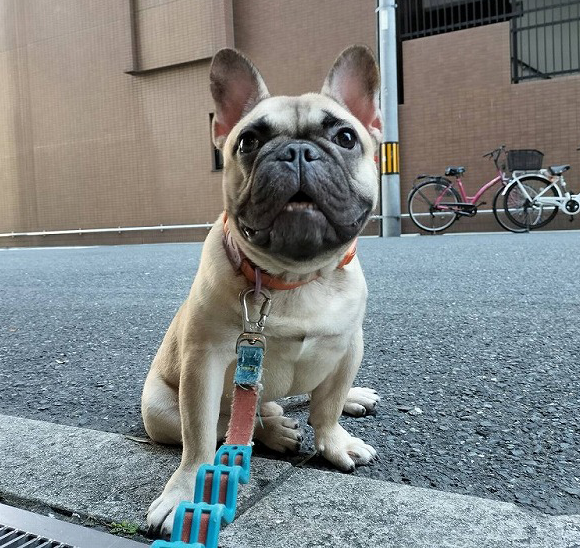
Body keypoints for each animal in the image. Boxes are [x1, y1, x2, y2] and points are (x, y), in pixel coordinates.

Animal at [142, 45, 382, 537]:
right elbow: (198, 442)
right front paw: (184, 495)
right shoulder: (204, 363)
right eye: (248, 141)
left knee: (301, 399)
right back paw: (273, 428)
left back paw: (349, 398)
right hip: (160, 409)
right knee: (233, 425)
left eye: (346, 137)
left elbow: (327, 407)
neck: (293, 276)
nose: (297, 151)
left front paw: (335, 442)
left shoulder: (349, 345)